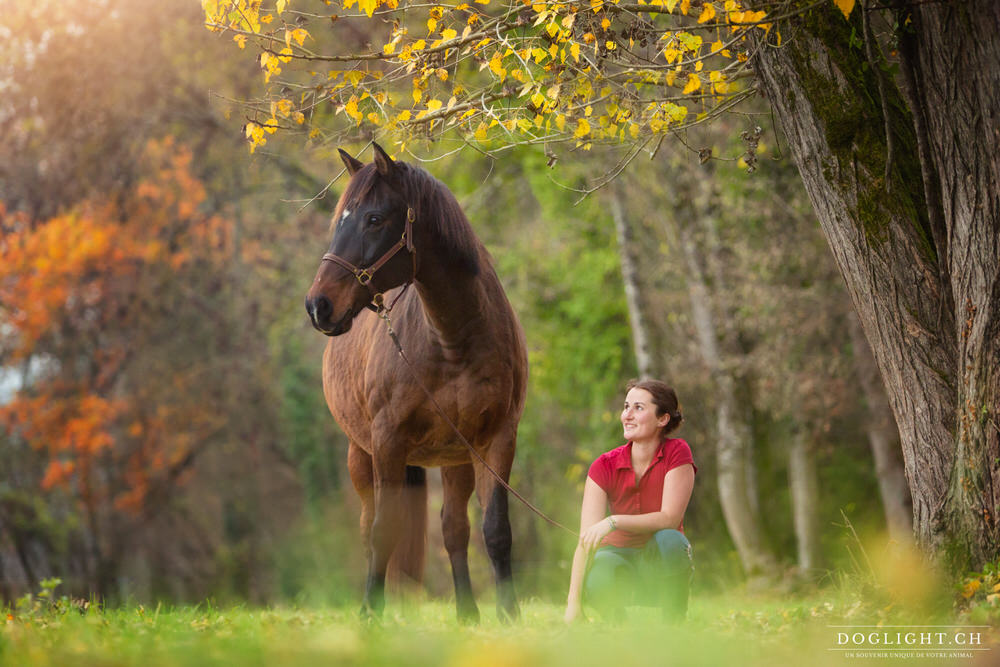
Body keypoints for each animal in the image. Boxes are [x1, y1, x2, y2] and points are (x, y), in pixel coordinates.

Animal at [304, 144, 528, 624]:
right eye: (339, 221)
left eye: (373, 218)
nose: (318, 305)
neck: (454, 337)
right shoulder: (387, 441)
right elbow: (383, 530)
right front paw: (370, 611)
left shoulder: (497, 439)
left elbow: (494, 529)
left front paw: (508, 613)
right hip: (360, 455)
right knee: (369, 529)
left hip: (455, 458)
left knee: (453, 527)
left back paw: (467, 612)